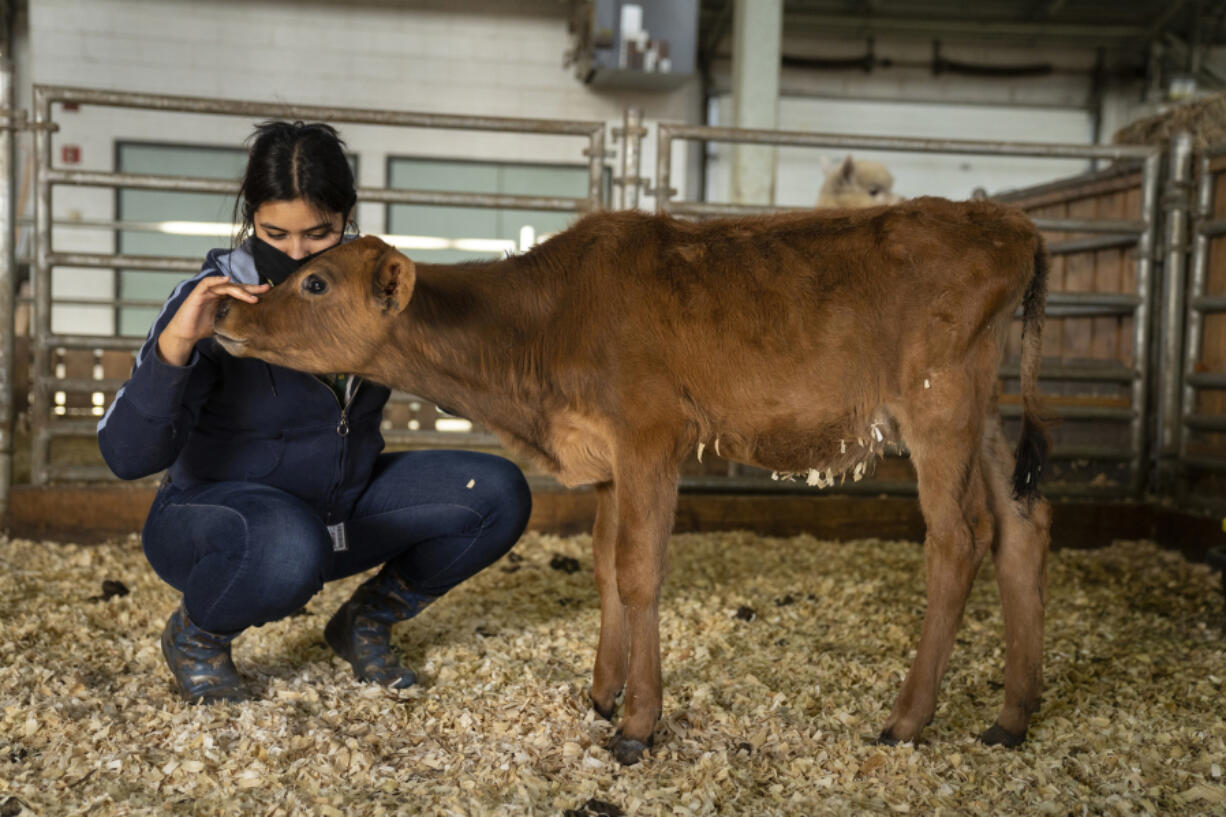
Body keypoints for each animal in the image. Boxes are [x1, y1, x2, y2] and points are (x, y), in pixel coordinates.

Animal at [213, 197, 1054, 765]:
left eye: (315, 283)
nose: (225, 311)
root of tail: (1004, 220)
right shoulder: (608, 460)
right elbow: (608, 567)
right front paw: (601, 692)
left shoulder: (652, 435)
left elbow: (643, 570)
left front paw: (639, 724)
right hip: (984, 410)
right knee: (1021, 527)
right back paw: (1013, 715)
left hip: (938, 403)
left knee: (959, 538)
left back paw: (908, 718)